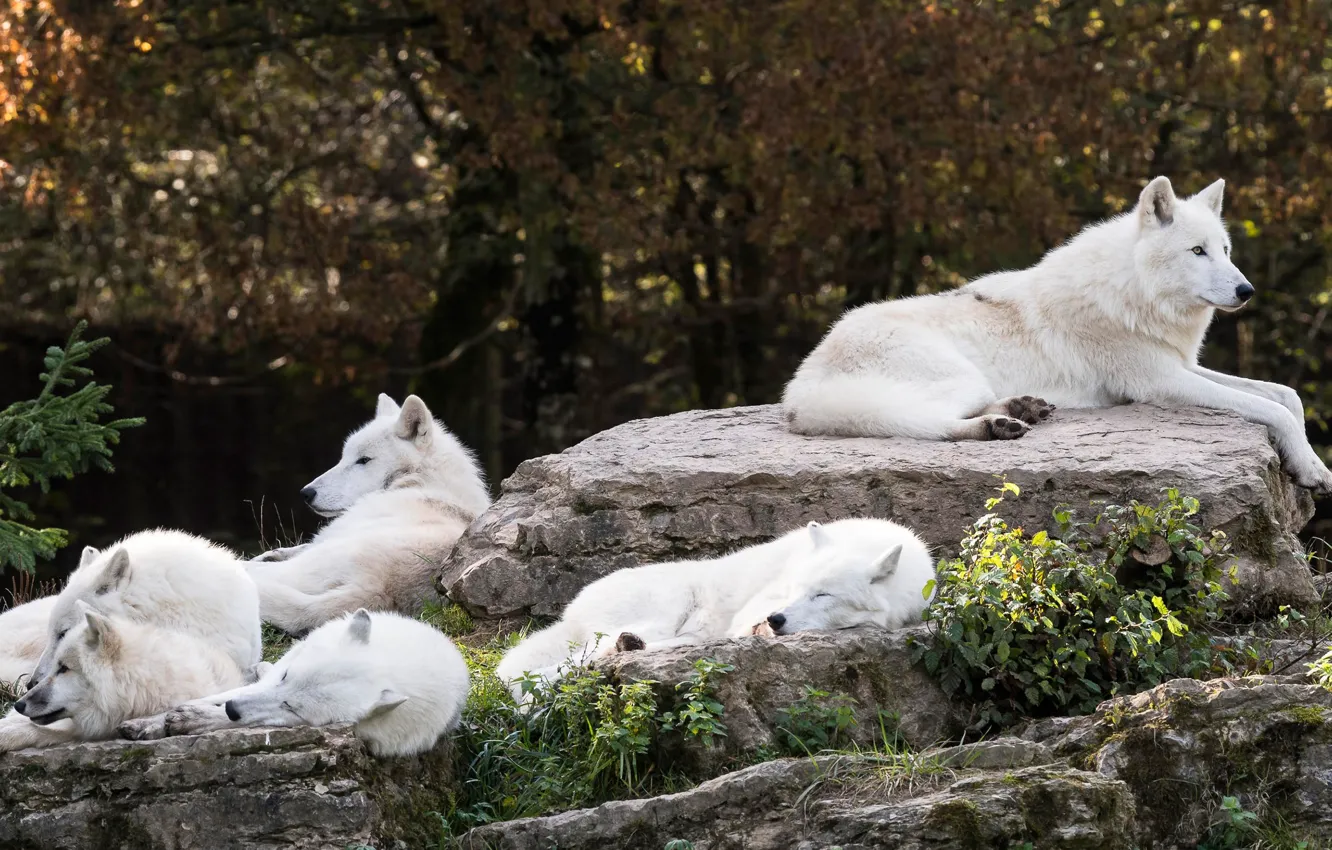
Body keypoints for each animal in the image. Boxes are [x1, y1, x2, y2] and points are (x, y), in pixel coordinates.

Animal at [121, 609, 470, 758]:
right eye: (287, 677)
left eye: (292, 707)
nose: (233, 709)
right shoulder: (274, 678)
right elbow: (218, 695)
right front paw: (146, 723)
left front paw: (192, 719)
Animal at [247, 394, 490, 634]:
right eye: (344, 457)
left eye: (363, 460)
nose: (306, 493)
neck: (421, 481)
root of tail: (379, 588)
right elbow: (294, 547)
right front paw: (272, 553)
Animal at [494, 518, 935, 697]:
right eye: (796, 587)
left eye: (823, 595)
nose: (776, 619)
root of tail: (571, 609)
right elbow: (746, 623)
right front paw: (760, 629)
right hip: (665, 610)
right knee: (581, 659)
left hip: (683, 634)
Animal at [782, 177, 1332, 493]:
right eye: (1197, 251)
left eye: (1224, 249)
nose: (1246, 290)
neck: (1133, 292)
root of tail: (799, 389)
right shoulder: (1159, 382)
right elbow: (1272, 407)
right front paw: (1311, 469)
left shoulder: (1182, 365)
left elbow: (1286, 394)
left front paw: (1309, 460)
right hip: (955, 379)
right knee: (921, 424)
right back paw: (998, 427)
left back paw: (1019, 410)